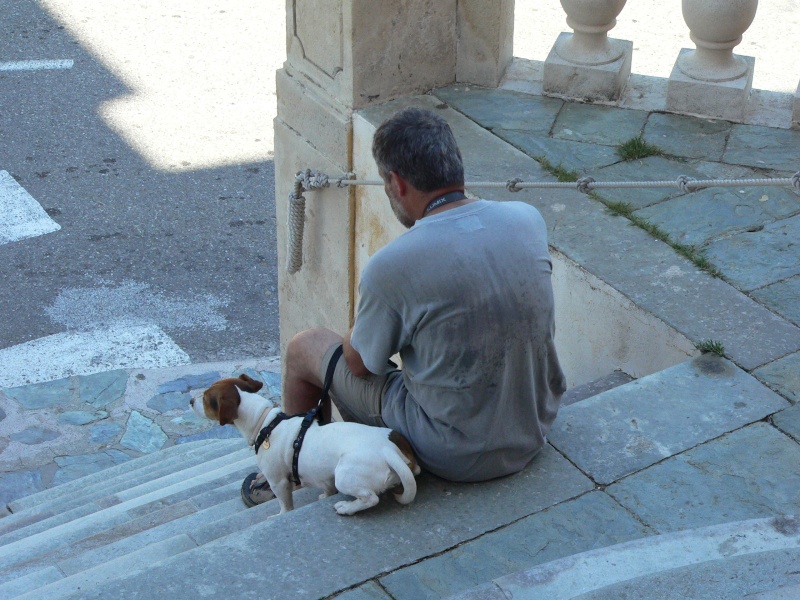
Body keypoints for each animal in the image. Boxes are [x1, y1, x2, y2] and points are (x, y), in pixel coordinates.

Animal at [191, 372, 422, 512]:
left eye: (206, 398)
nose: (191, 400)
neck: (265, 422)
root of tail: (387, 450)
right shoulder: (322, 476)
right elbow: (326, 488)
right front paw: (324, 495)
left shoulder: (278, 481)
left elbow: (285, 505)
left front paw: (280, 515)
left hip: (345, 475)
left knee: (371, 498)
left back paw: (346, 508)